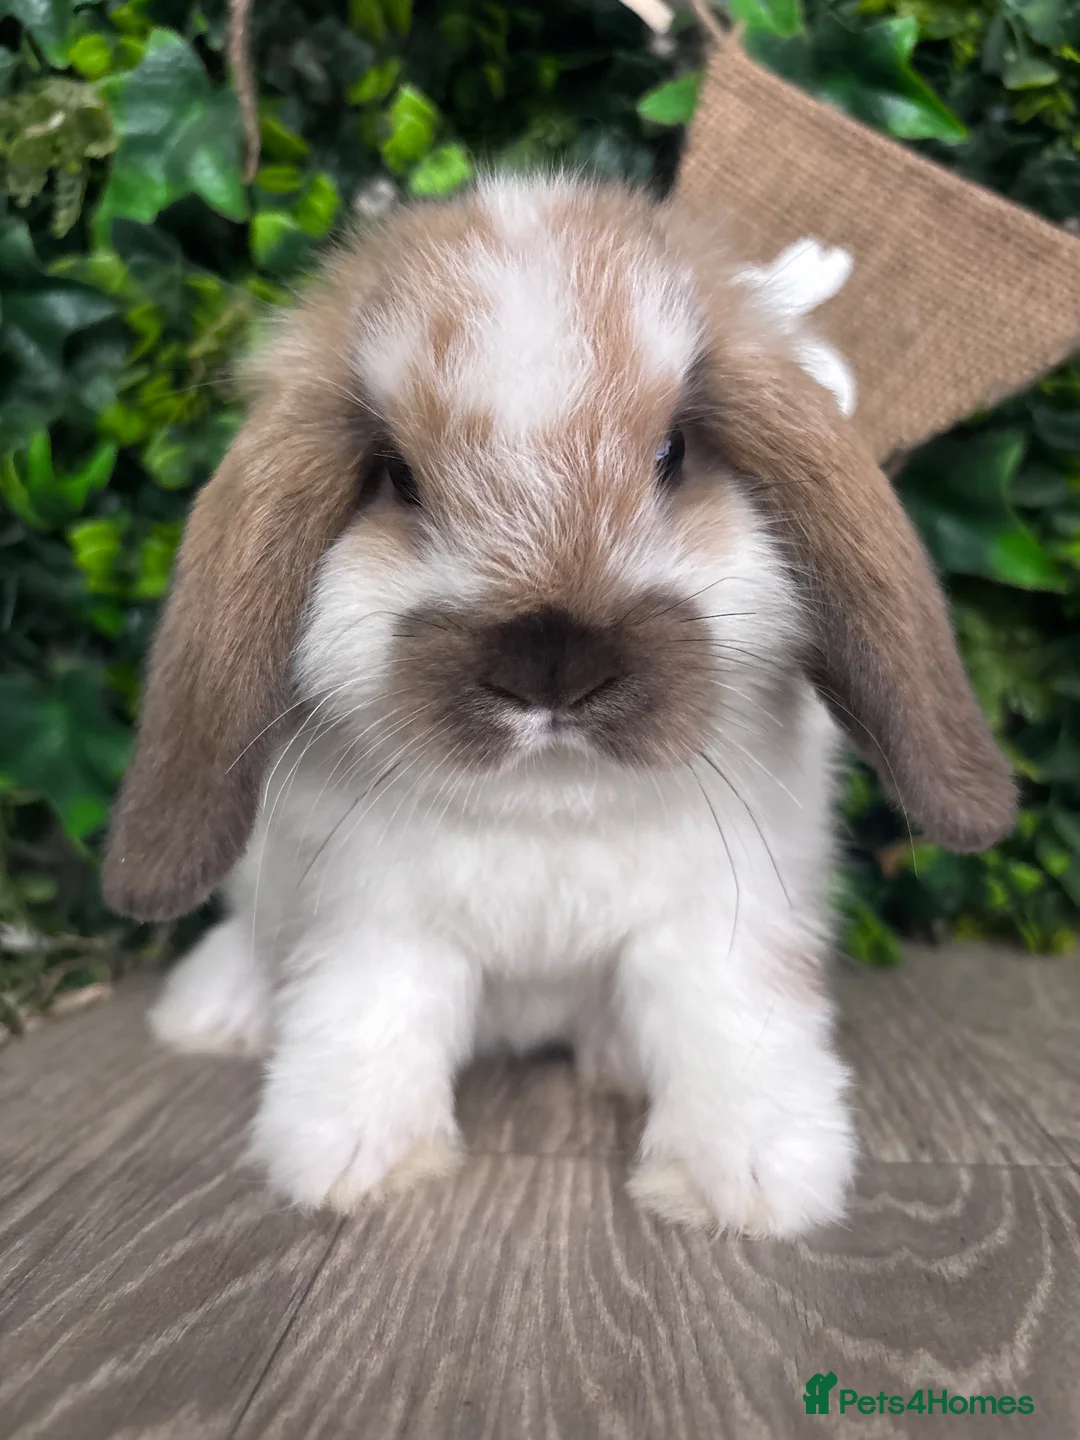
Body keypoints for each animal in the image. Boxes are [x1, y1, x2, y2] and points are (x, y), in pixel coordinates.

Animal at [103, 175, 1015, 1236]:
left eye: (673, 453)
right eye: (398, 478)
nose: (551, 662)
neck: (549, 799)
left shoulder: (720, 918)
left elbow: (729, 1020)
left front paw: (748, 1180)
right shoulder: (377, 921)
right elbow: (369, 1016)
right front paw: (352, 1157)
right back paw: (214, 1015)